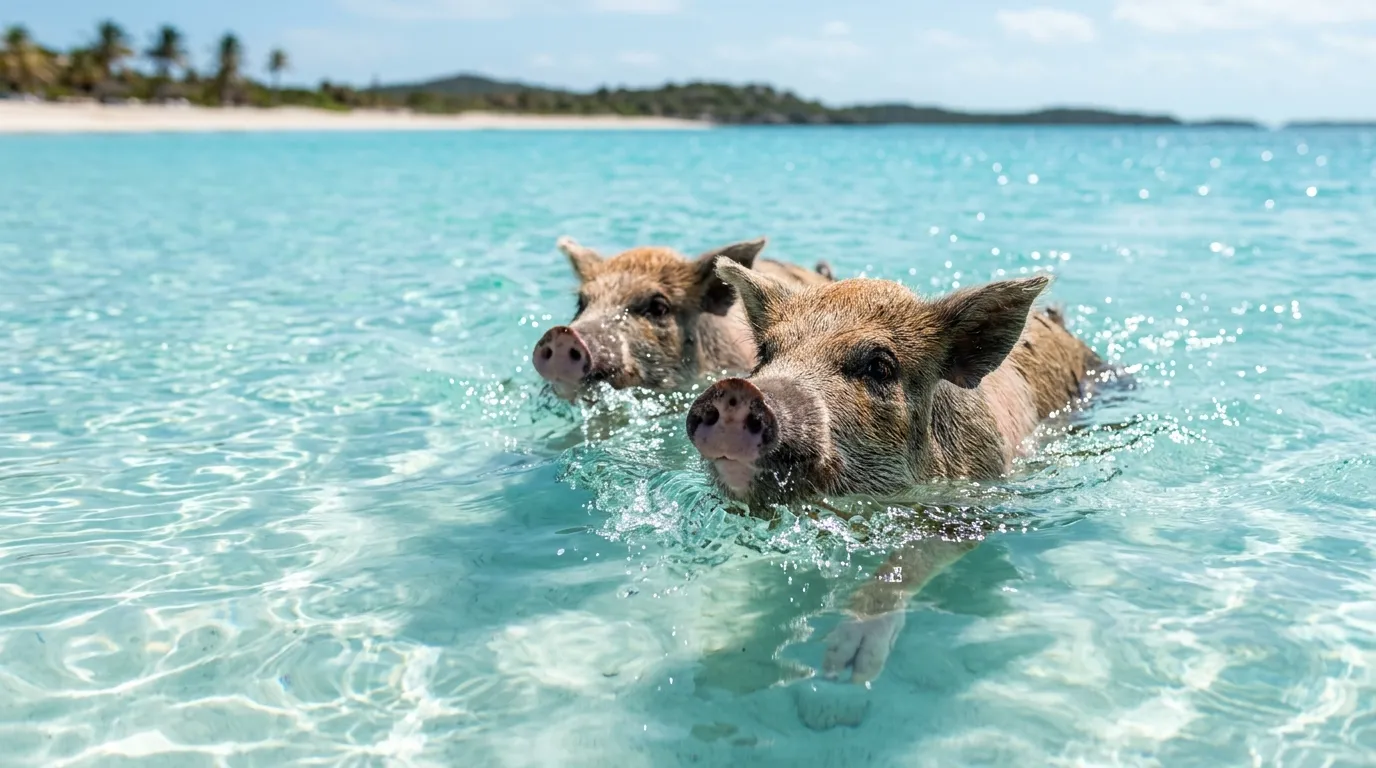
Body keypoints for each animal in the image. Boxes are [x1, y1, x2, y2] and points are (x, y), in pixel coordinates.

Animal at [685, 261, 1105, 683]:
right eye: (765, 353)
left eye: (880, 367)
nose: (735, 390)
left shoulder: (978, 507)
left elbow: (909, 559)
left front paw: (846, 666)